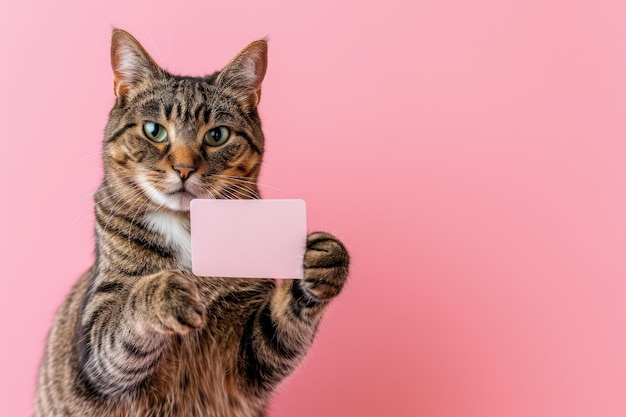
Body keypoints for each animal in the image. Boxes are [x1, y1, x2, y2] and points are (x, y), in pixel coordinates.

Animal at [34, 30, 348, 416]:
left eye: (217, 135)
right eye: (154, 131)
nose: (183, 168)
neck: (188, 227)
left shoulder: (246, 363)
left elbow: (278, 329)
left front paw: (322, 257)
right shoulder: (95, 348)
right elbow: (127, 313)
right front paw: (167, 293)